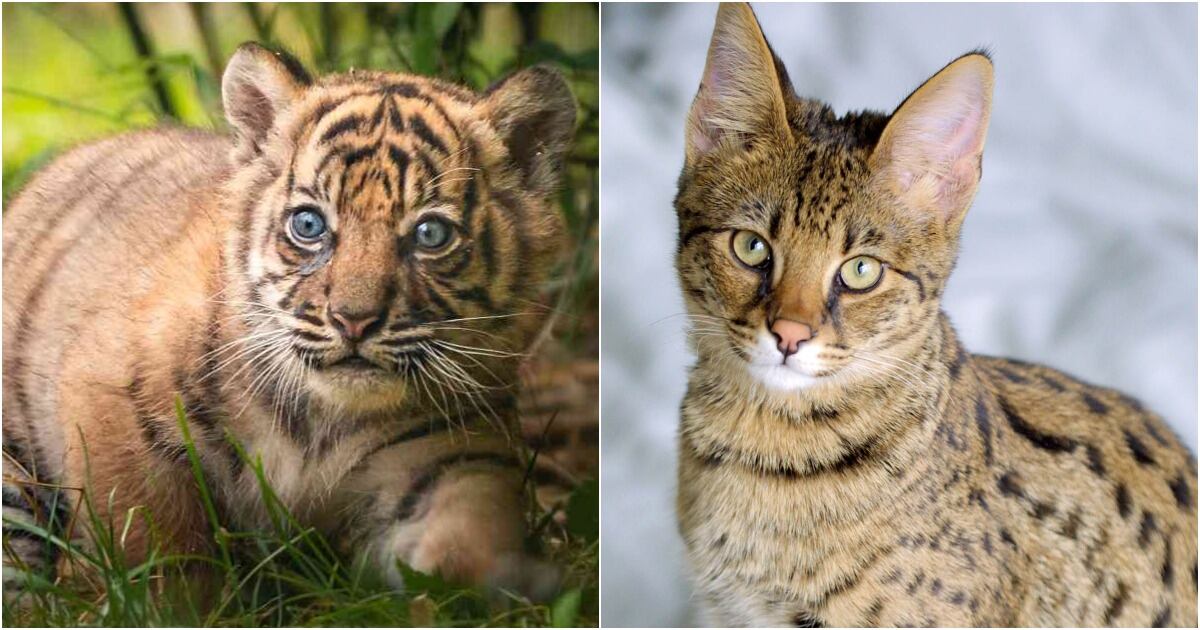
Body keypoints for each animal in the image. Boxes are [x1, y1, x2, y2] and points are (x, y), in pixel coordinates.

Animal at [1, 42, 576, 596]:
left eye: (430, 234)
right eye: (309, 224)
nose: (354, 321)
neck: (324, 423)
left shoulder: (451, 457)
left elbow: (465, 541)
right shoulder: (111, 404)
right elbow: (159, 551)